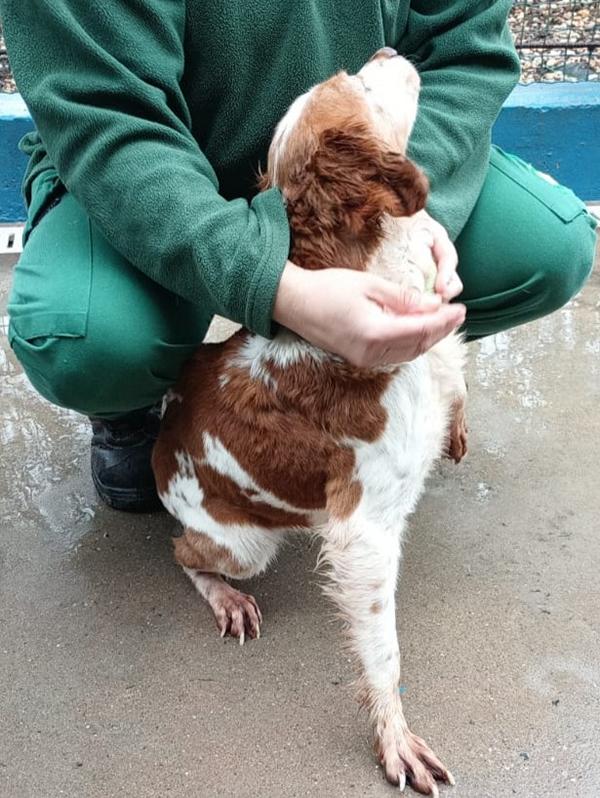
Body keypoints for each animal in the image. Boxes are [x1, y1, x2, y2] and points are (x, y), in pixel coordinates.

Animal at [152, 47, 468, 795]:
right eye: (353, 82)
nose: (386, 50)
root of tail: (160, 442)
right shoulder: (365, 532)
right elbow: (384, 652)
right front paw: (394, 737)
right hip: (242, 544)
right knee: (182, 553)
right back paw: (225, 597)